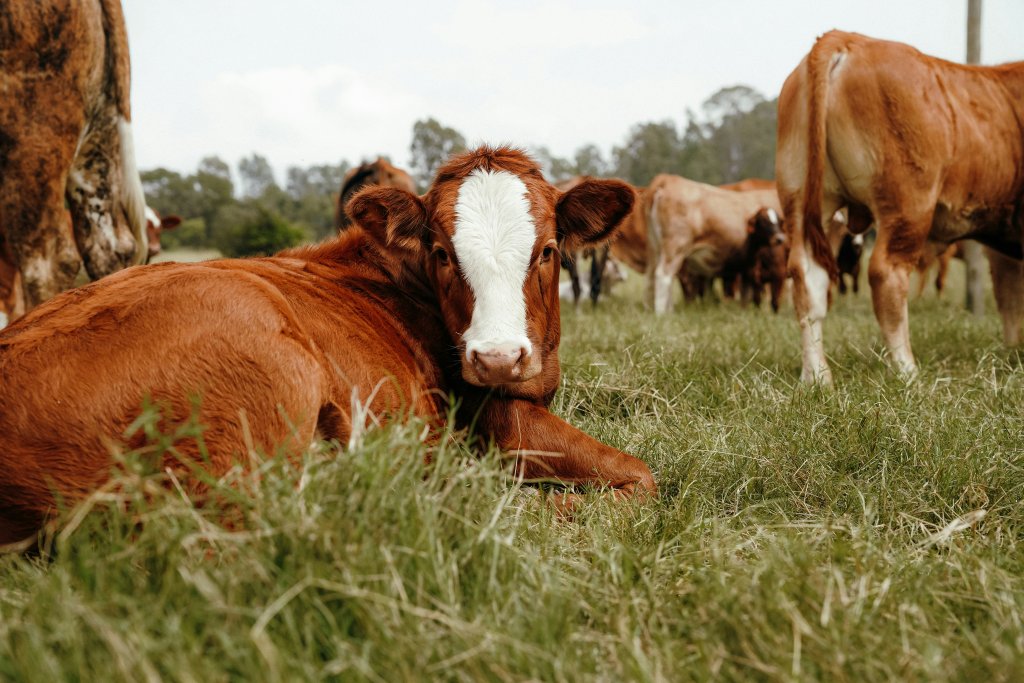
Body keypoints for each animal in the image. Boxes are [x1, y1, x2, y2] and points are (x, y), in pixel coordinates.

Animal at [645, 174, 783, 314]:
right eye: (764, 222)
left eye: (778, 221)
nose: (779, 239)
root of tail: (668, 179)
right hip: (675, 247)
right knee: (663, 275)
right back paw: (662, 313)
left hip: (656, 248)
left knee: (653, 277)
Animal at [777, 30, 1024, 383]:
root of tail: (845, 38)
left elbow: (1010, 297)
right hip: (907, 205)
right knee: (886, 274)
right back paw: (907, 371)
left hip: (803, 201)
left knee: (807, 280)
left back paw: (817, 378)